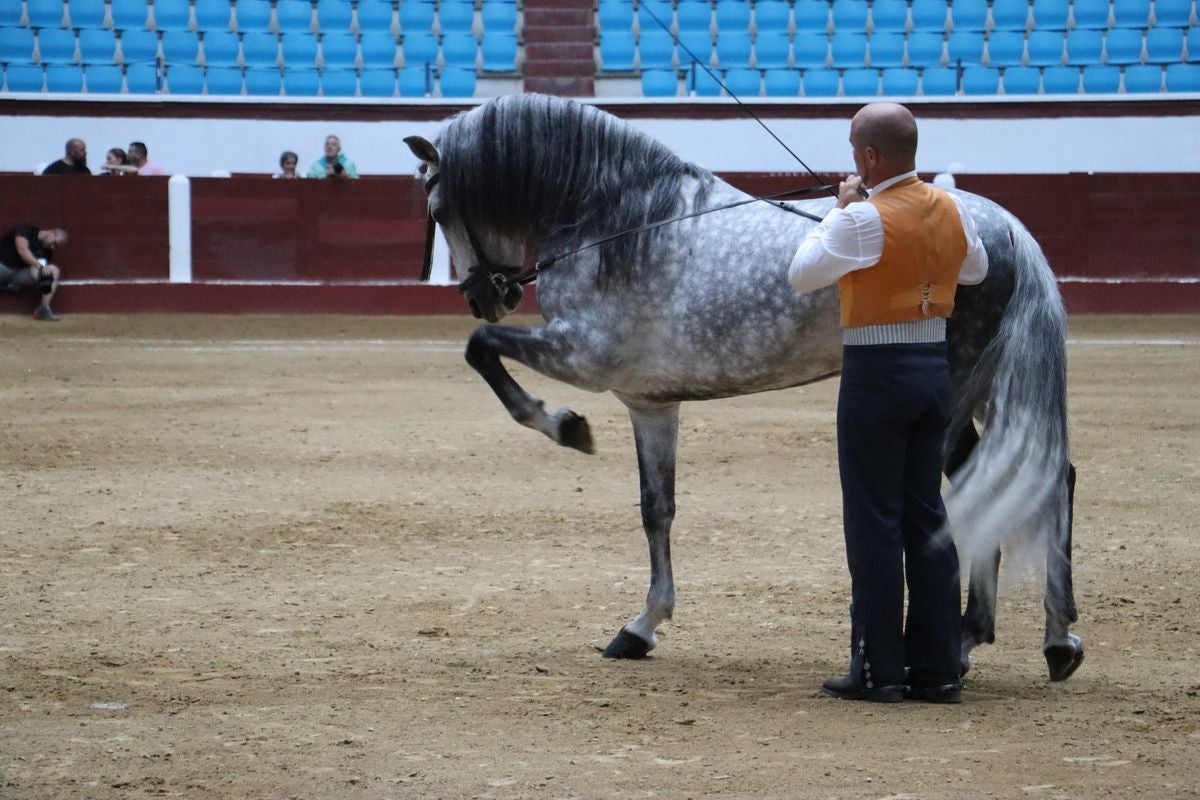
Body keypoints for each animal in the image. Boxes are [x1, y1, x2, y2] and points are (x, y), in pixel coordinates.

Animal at [403, 93, 1083, 683]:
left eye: (437, 211)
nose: (485, 296)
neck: (621, 222)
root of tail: (1004, 228)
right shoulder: (651, 403)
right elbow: (657, 509)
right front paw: (641, 627)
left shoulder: (583, 354)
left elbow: (482, 350)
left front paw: (565, 425)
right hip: (982, 391)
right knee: (1040, 475)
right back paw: (1041, 639)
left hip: (957, 395)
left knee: (988, 481)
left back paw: (977, 639)